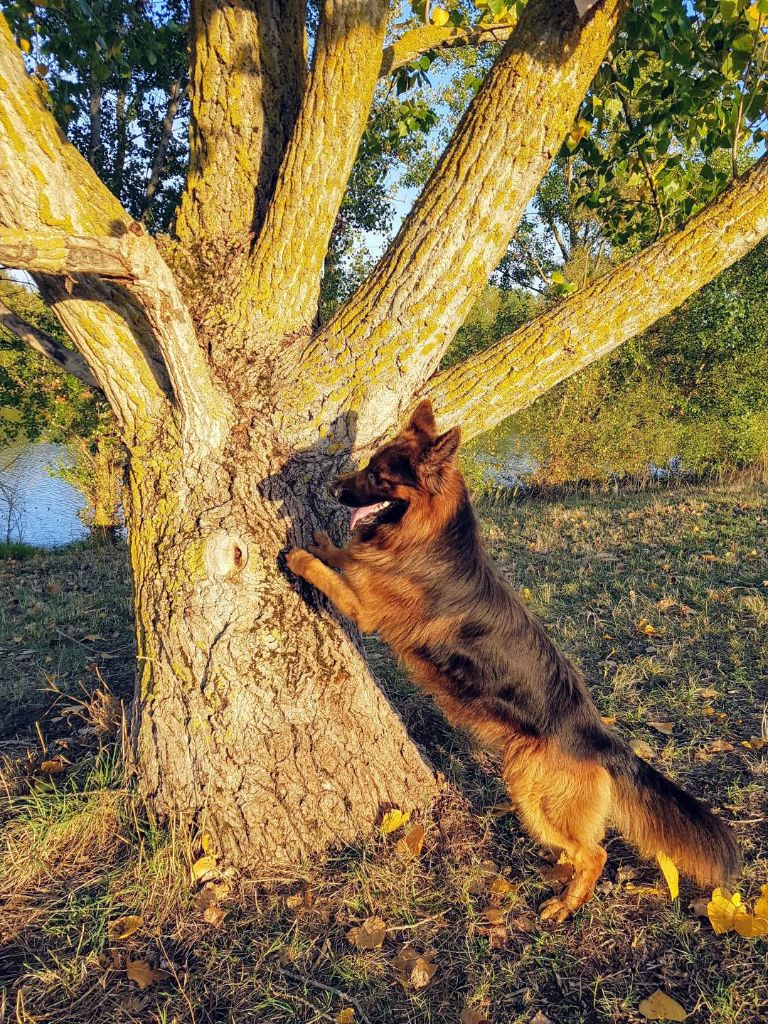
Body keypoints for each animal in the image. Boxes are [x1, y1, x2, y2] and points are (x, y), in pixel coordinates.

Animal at [286, 399, 741, 921]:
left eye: (379, 475)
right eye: (368, 467)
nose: (332, 490)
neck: (428, 539)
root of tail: (598, 737)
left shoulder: (364, 608)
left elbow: (329, 572)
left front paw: (301, 556)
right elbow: (344, 555)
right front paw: (323, 542)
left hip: (528, 789)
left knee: (595, 853)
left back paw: (566, 904)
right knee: (579, 851)